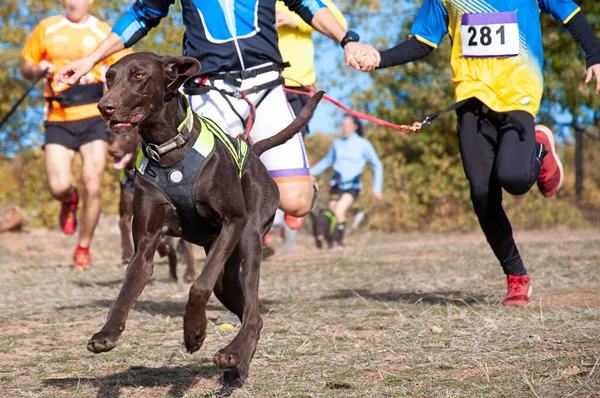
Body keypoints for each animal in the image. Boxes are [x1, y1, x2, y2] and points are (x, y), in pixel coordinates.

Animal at [105, 129, 195, 282]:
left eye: (127, 137)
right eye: (111, 137)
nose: (112, 151)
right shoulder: (129, 213)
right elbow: (123, 224)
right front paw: (126, 253)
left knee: (188, 246)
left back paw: (189, 273)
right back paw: (172, 276)